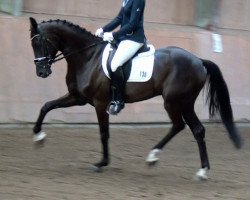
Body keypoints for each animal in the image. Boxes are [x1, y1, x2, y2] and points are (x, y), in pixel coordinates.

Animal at [29, 17, 242, 180]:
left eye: (40, 42)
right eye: (32, 44)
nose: (41, 72)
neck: (88, 57)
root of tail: (199, 61)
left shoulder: (100, 103)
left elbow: (103, 133)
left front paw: (101, 163)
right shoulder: (77, 97)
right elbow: (46, 106)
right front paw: (38, 136)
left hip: (176, 101)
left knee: (188, 127)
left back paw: (188, 167)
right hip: (181, 103)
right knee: (188, 128)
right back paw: (173, 163)